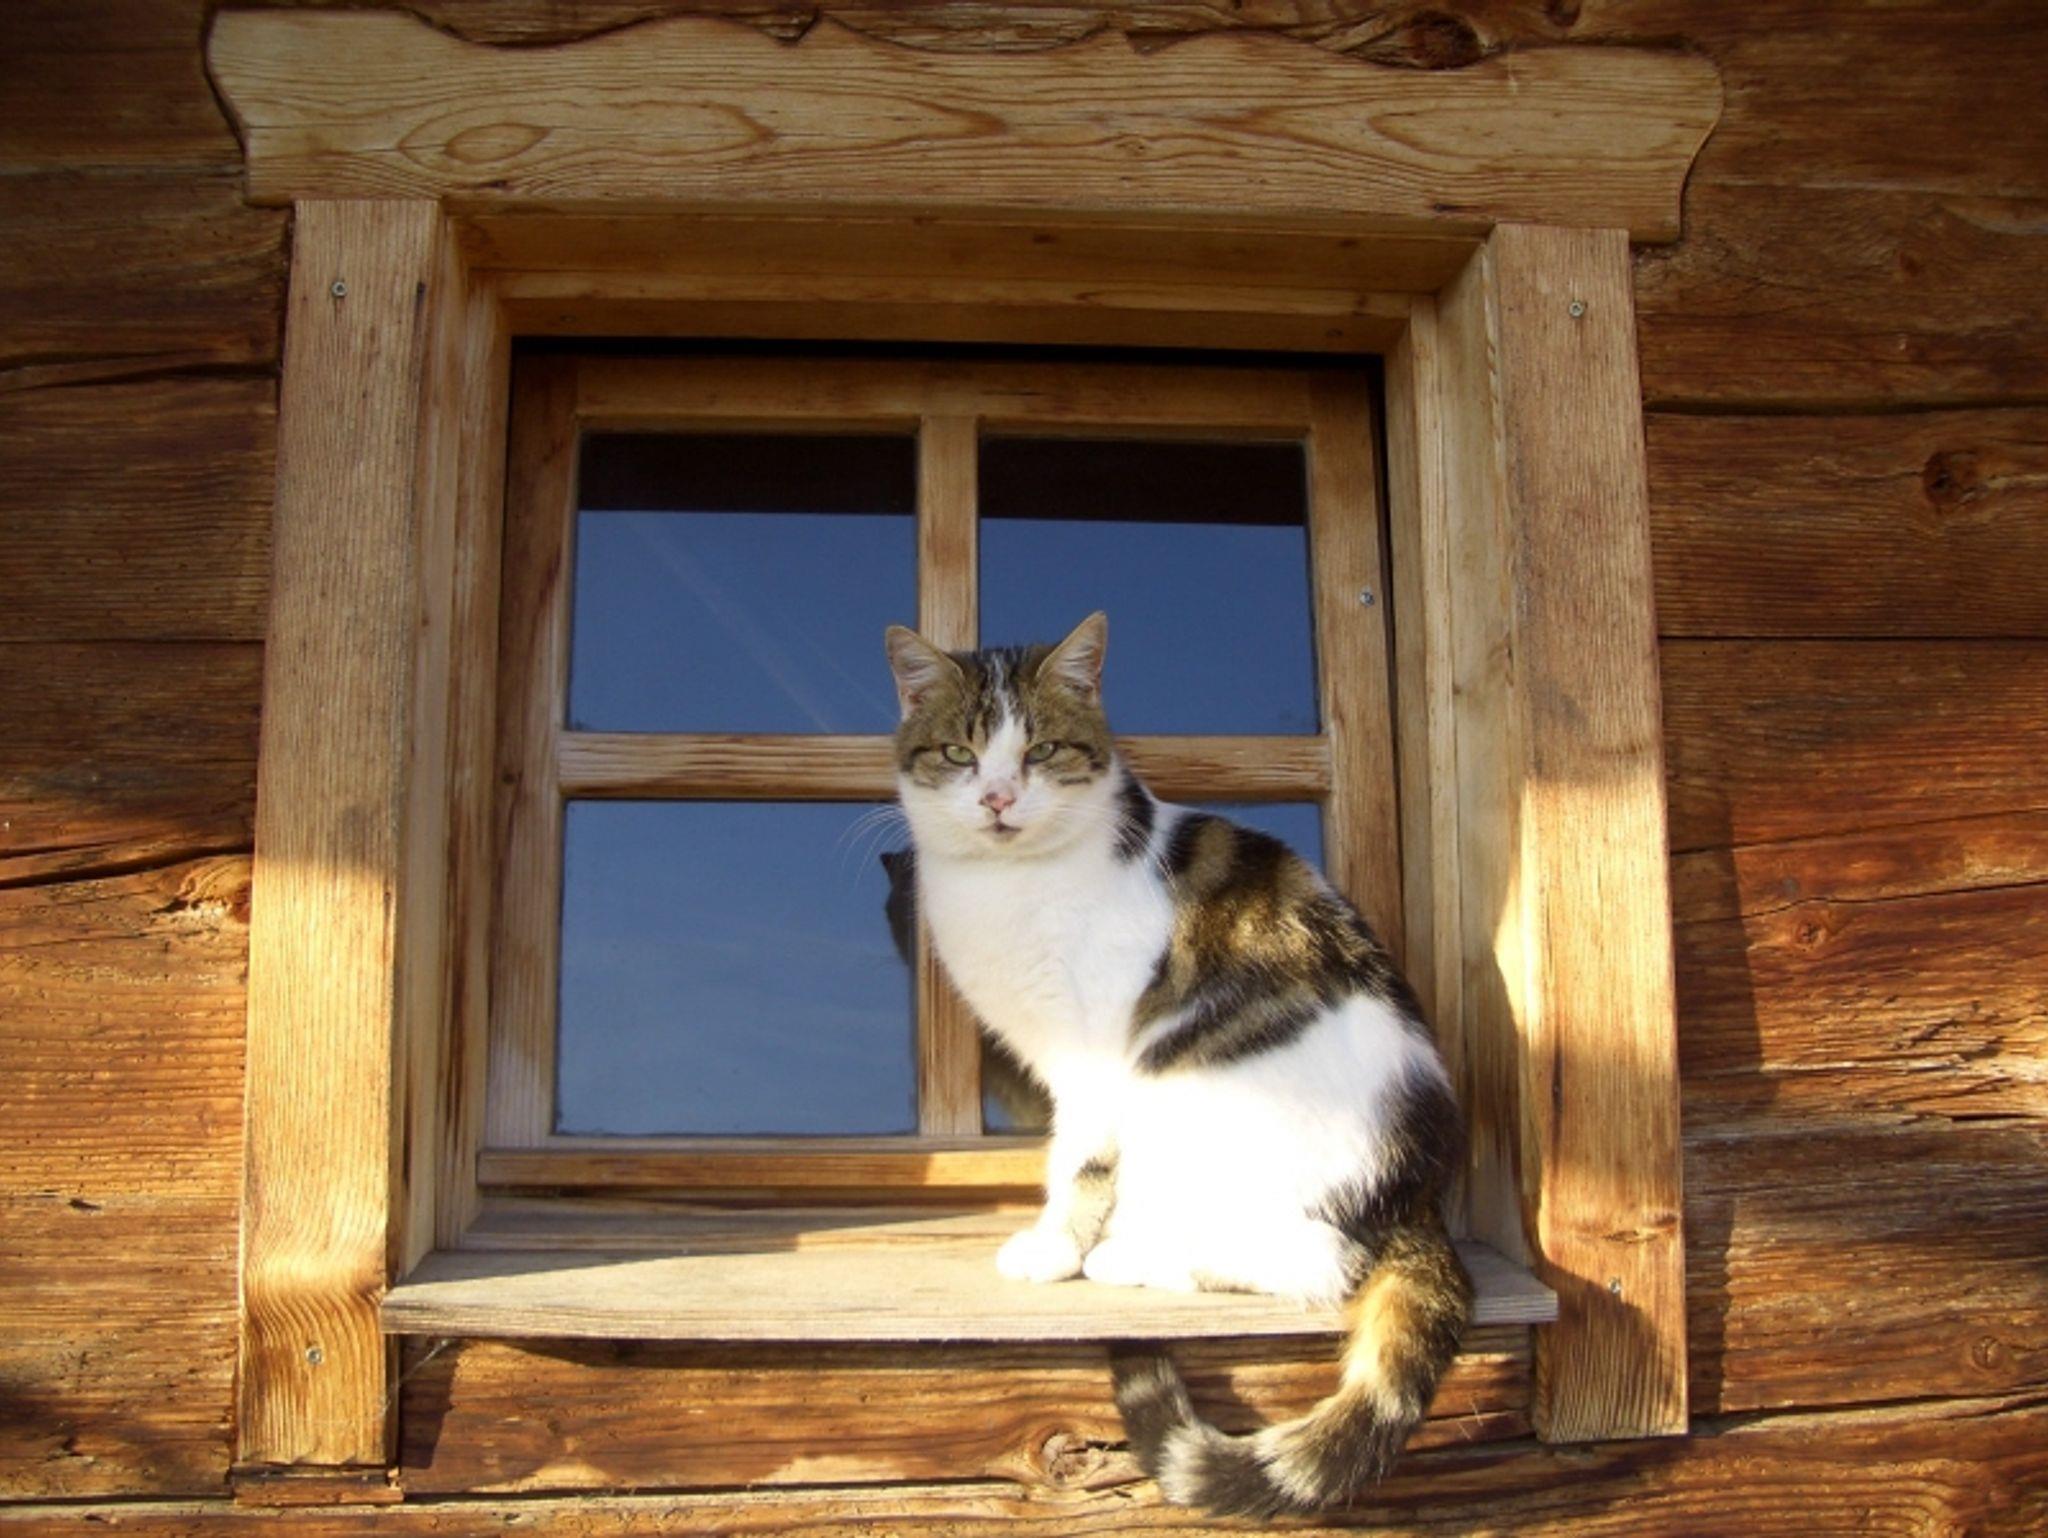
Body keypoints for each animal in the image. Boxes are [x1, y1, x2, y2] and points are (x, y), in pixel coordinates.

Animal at [885, 610, 1469, 1518]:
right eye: (959, 753)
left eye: (1041, 750)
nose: (998, 798)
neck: (1007, 886)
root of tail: (1416, 1196)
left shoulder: (1093, 1055)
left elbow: (1077, 1164)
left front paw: (1055, 1249)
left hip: (1197, 1106)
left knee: (1320, 1263)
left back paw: (1131, 1254)